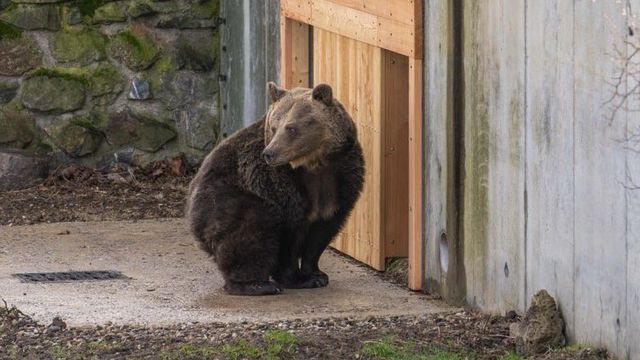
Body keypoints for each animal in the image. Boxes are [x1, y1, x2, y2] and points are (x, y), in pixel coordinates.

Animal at [188, 83, 362, 296]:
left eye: (291, 128)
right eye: (273, 126)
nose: (269, 153)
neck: (314, 164)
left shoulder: (341, 177)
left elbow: (322, 231)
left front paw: (317, 274)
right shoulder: (277, 183)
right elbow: (289, 234)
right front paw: (297, 279)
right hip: (224, 200)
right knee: (253, 228)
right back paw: (256, 284)